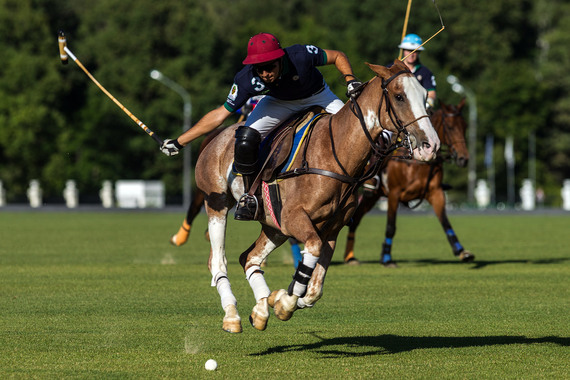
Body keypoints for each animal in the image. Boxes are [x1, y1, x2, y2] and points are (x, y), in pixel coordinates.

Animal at [193, 60, 438, 334]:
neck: (335, 156)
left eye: (425, 95)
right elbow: (310, 254)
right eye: (399, 96)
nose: (431, 145)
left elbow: (314, 290)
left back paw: (260, 310)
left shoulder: (330, 229)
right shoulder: (295, 219)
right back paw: (232, 315)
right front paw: (284, 302)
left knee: (249, 257)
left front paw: (278, 300)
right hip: (218, 204)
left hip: (273, 225)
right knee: (218, 262)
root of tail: (217, 136)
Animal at [340, 98, 472, 268]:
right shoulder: (394, 194)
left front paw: (462, 252)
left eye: (465, 126)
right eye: (449, 127)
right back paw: (349, 257)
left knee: (355, 219)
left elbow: (445, 222)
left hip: (373, 196)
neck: (417, 162)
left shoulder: (436, 192)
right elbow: (391, 226)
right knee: (354, 219)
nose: (464, 158)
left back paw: (350, 257)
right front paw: (387, 258)